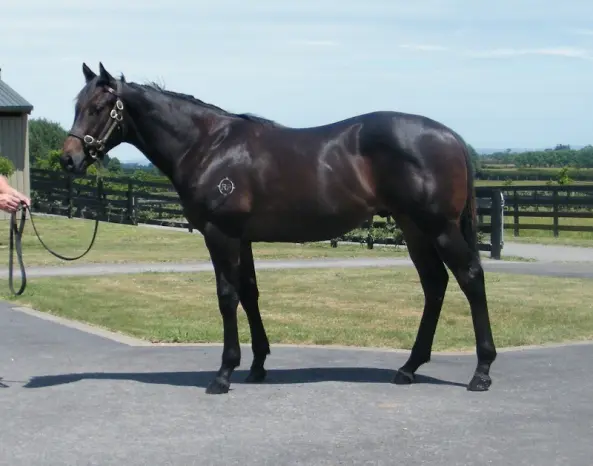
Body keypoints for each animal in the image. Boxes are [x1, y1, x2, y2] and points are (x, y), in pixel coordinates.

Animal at [60, 62, 497, 395]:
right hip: (413, 229)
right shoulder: (243, 238)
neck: (208, 145)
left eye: (99, 106)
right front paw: (257, 365)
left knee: (470, 278)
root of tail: (452, 137)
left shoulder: (221, 235)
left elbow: (227, 296)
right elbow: (250, 294)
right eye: (78, 105)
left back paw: (481, 372)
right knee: (435, 284)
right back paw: (409, 367)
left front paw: (224, 373)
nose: (69, 159)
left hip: (438, 227)